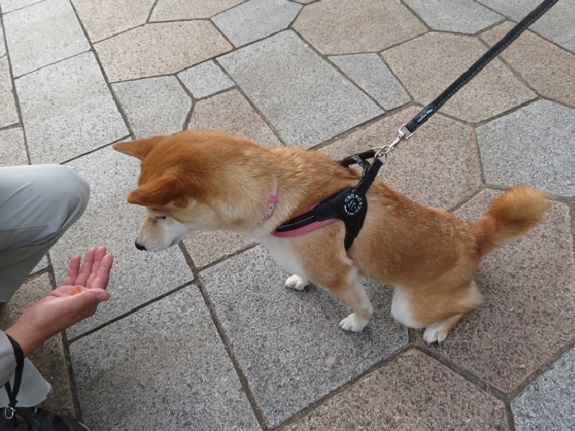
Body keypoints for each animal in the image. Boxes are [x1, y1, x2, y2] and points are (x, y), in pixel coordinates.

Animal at [113, 131, 548, 344]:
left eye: (159, 216)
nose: (137, 245)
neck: (277, 193)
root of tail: (474, 234)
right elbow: (302, 271)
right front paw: (300, 279)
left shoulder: (341, 276)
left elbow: (360, 305)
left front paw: (357, 322)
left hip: (409, 307)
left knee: (473, 301)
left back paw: (440, 329)